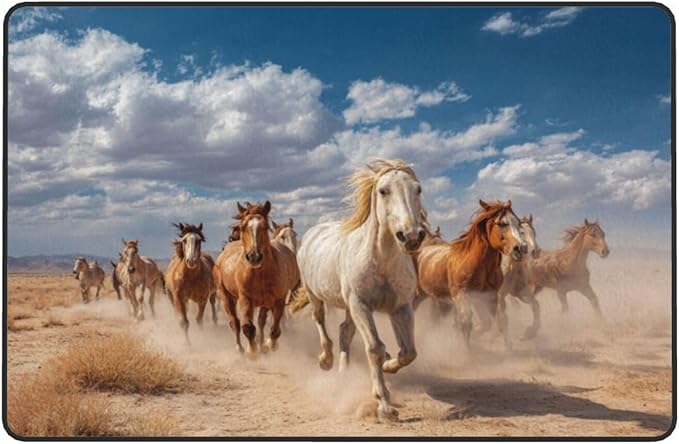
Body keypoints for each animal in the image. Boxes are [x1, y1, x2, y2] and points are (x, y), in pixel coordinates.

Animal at [213, 201, 298, 355]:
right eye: (243, 227)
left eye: (265, 226)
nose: (254, 257)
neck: (259, 274)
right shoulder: (245, 300)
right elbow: (248, 327)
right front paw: (252, 351)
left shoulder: (278, 301)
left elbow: (274, 328)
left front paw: (269, 344)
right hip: (226, 297)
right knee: (235, 322)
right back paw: (240, 348)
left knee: (260, 321)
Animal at [291, 158, 426, 421]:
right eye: (383, 191)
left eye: (418, 189)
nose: (412, 236)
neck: (380, 261)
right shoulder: (361, 304)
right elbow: (374, 348)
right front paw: (384, 406)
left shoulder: (401, 307)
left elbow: (409, 352)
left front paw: (389, 364)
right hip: (317, 295)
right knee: (320, 321)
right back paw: (326, 360)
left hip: (348, 306)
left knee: (345, 331)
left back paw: (344, 373)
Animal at [415, 200, 526, 351]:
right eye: (501, 223)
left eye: (518, 222)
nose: (520, 248)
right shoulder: (461, 295)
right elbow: (466, 323)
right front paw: (467, 351)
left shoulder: (488, 296)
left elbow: (496, 321)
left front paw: (509, 348)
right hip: (417, 295)